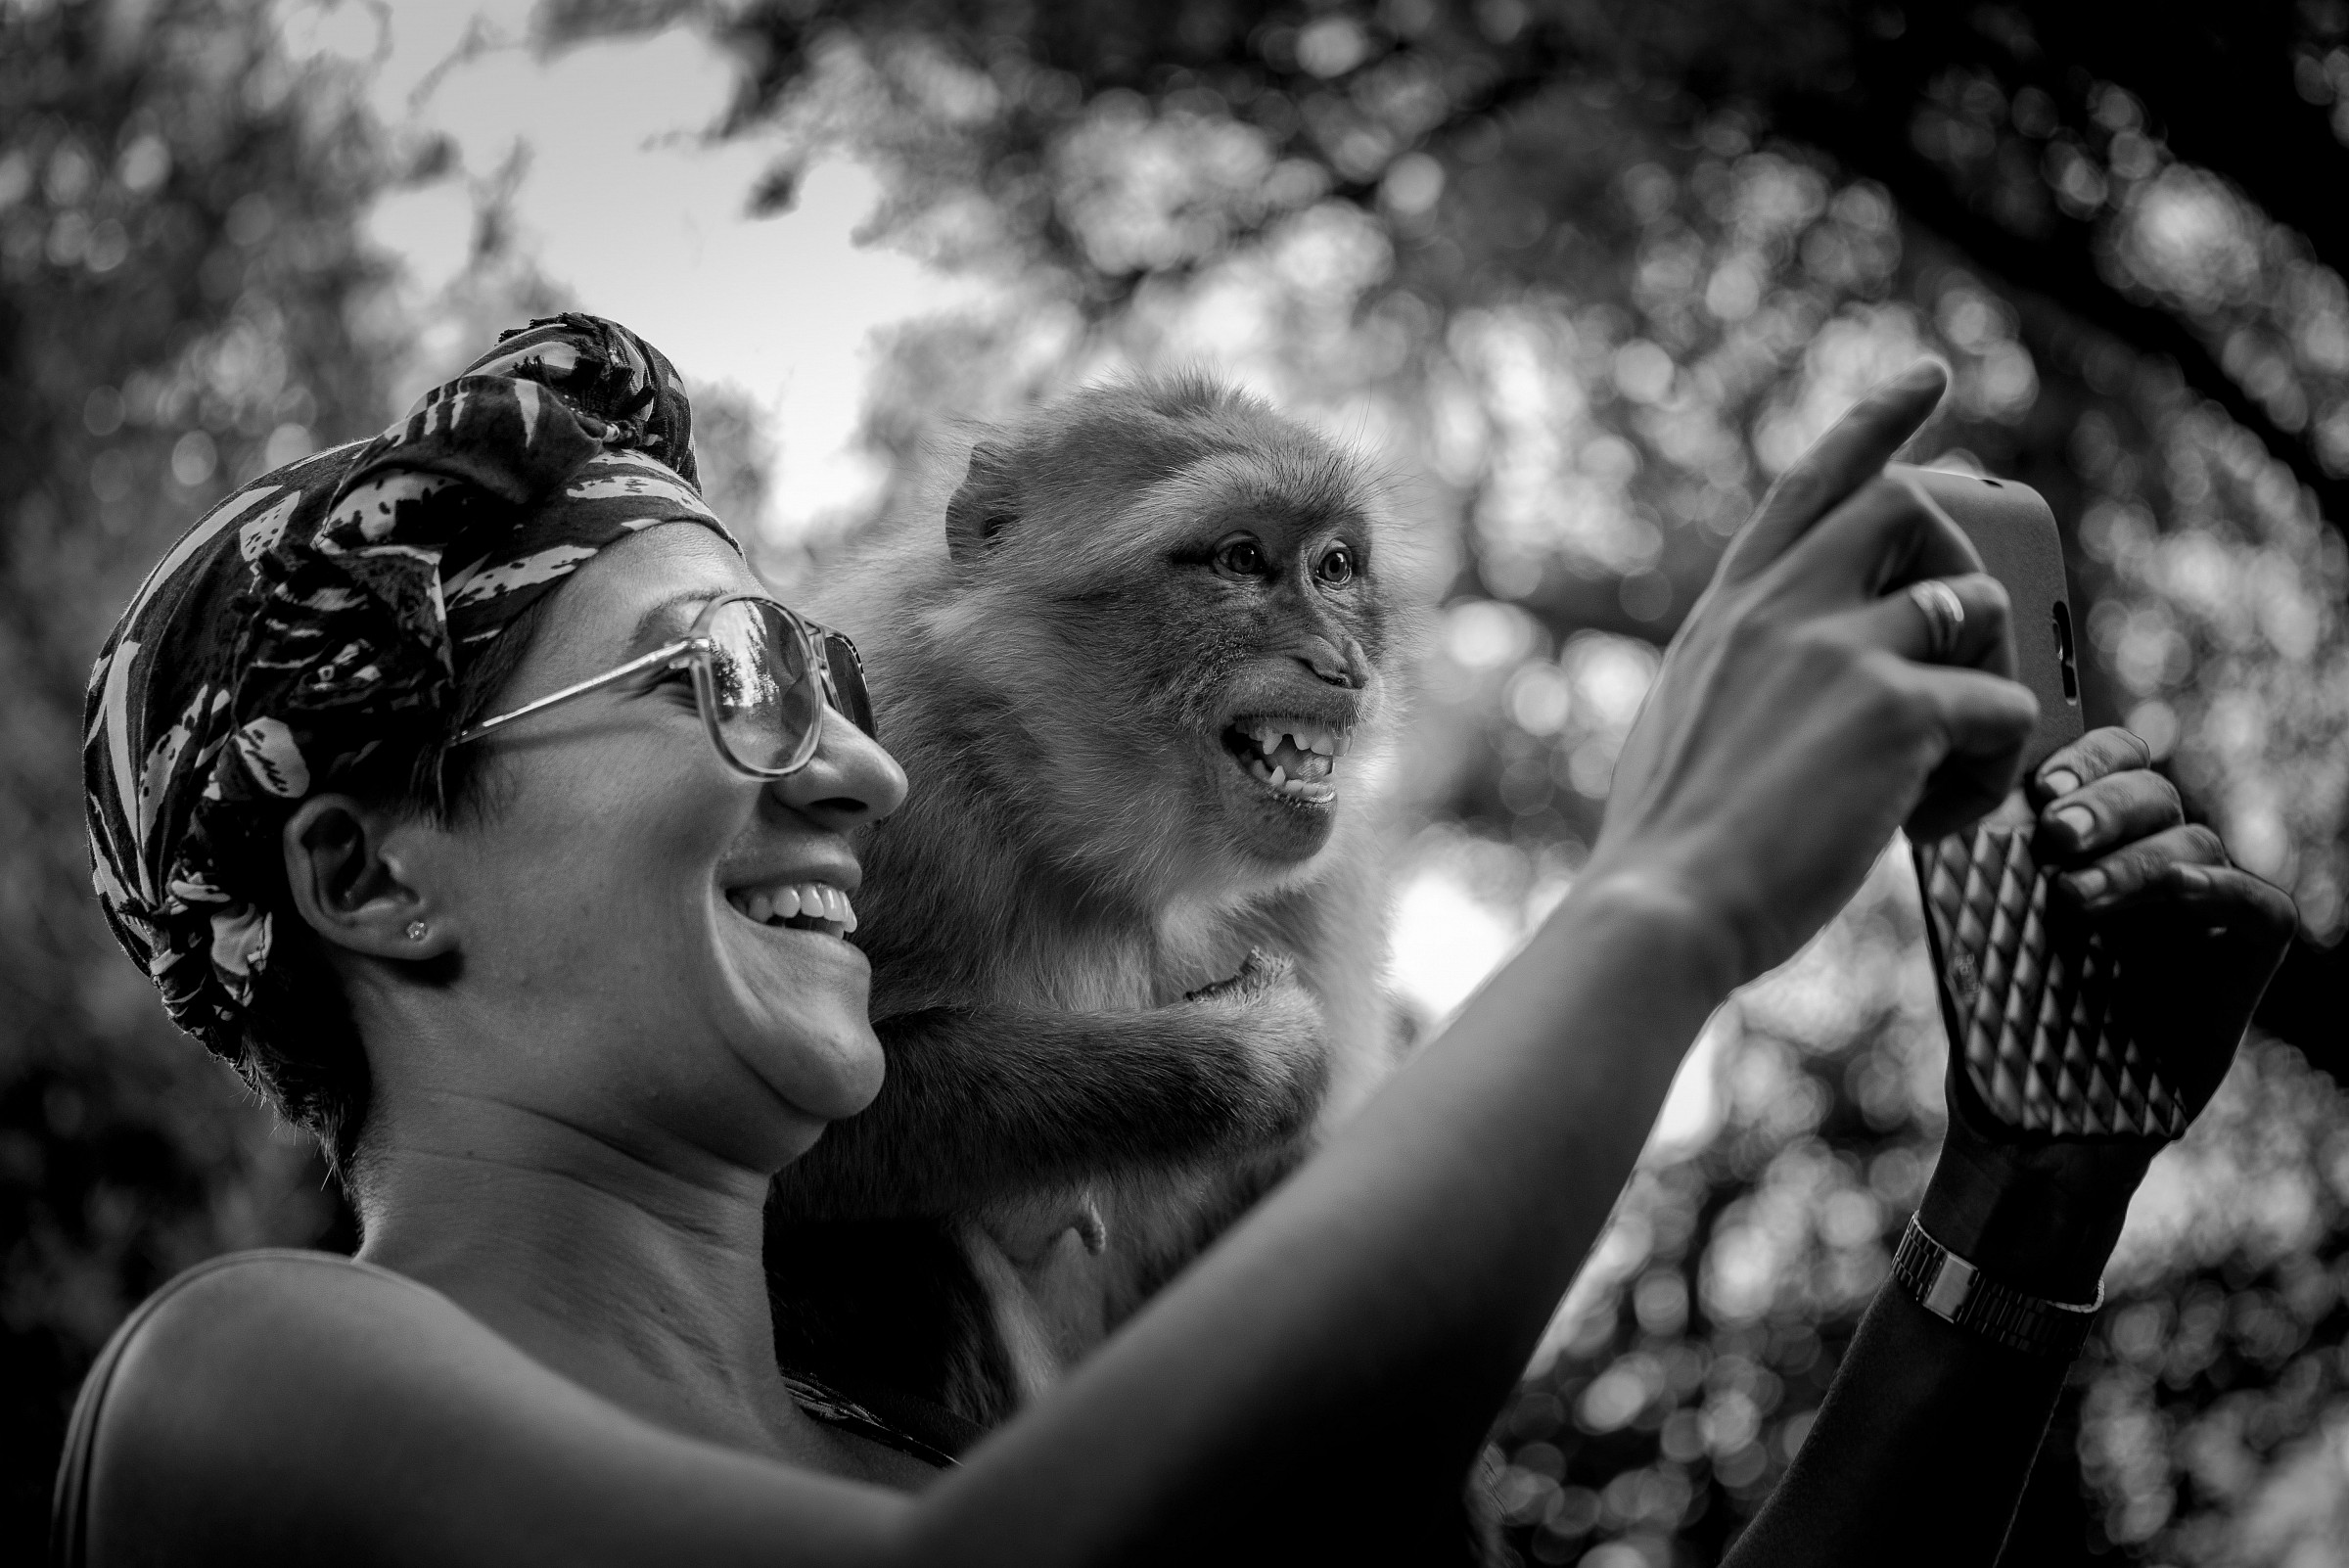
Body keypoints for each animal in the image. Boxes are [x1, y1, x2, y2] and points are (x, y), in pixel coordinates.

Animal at [764, 373, 1414, 1437]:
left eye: (1335, 566)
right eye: (1241, 560)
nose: (1343, 666)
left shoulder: (1325, 880)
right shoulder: (875, 748)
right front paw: (1236, 1060)